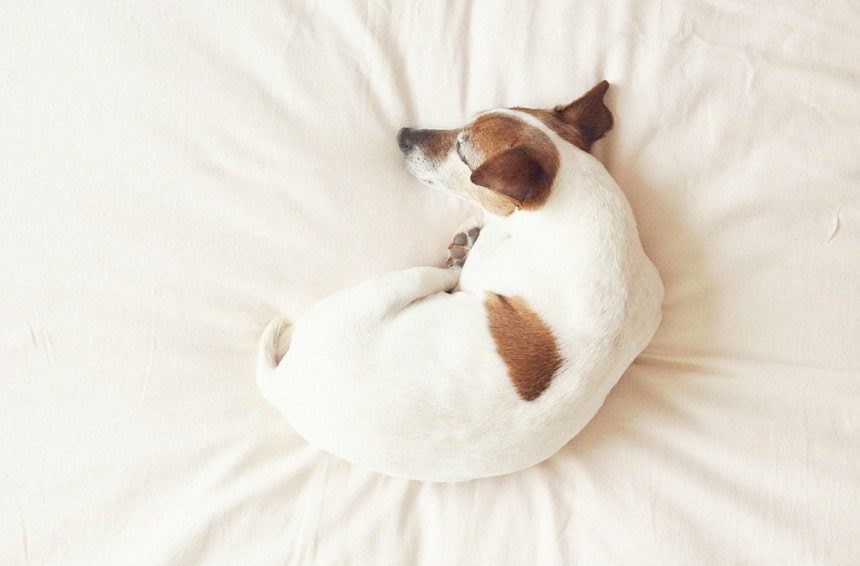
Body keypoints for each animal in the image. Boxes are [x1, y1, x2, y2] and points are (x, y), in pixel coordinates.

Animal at [258, 81, 660, 484]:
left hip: (399, 284)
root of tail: (281, 386)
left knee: (440, 275)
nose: (404, 135)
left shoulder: (483, 265)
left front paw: (471, 235)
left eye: (462, 151)